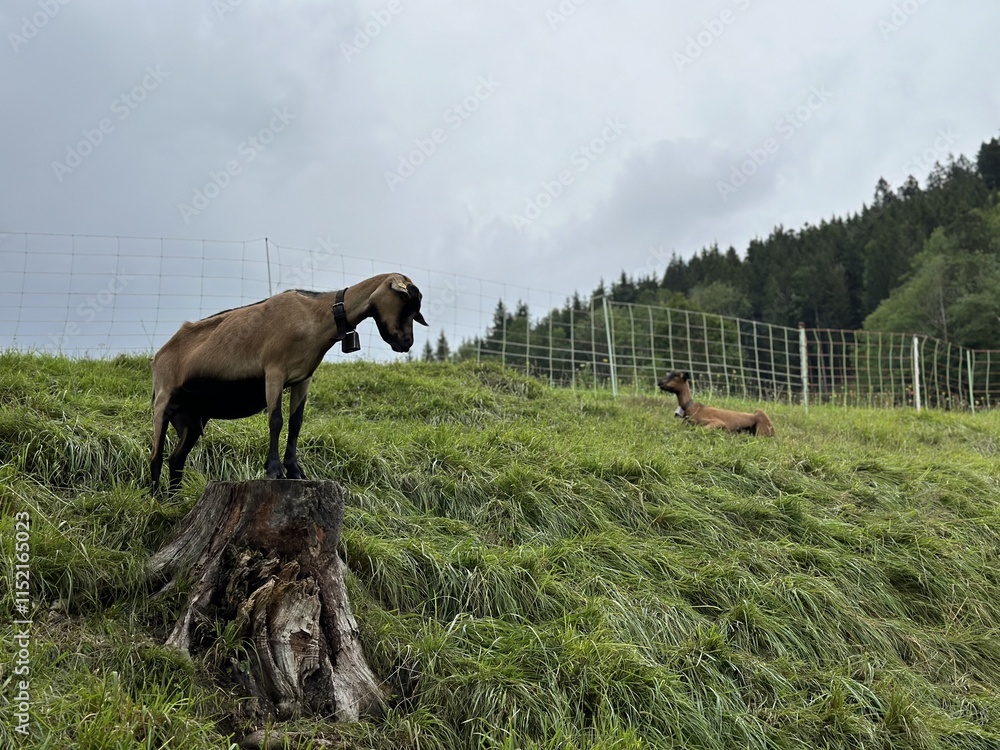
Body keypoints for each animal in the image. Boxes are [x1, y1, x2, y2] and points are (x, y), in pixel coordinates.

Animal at [150, 272, 427, 495]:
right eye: (406, 303)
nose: (406, 343)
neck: (316, 315)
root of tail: (159, 355)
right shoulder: (274, 371)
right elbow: (276, 420)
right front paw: (274, 470)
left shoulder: (303, 378)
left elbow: (296, 423)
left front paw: (295, 471)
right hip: (163, 399)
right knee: (156, 457)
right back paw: (155, 500)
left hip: (192, 418)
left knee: (176, 460)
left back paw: (173, 499)